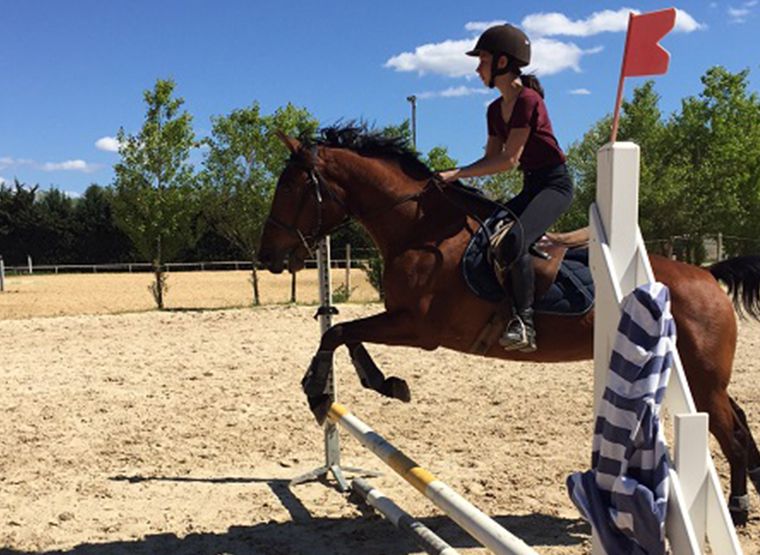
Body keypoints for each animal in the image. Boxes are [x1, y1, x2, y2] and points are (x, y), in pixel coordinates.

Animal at [258, 126, 760, 524]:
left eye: (290, 188)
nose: (267, 256)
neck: (420, 232)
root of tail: (709, 277)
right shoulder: (405, 323)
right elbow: (341, 331)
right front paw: (377, 383)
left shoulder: (419, 329)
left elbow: (339, 332)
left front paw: (324, 391)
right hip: (699, 377)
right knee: (737, 418)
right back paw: (750, 485)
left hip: (699, 381)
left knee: (728, 433)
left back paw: (736, 506)